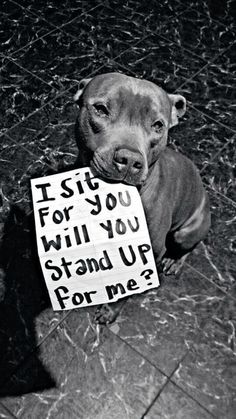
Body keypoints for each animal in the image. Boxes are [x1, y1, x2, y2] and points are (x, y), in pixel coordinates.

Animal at [73, 72, 210, 324]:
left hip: (186, 232)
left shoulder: (148, 255)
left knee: (188, 246)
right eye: (101, 109)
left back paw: (175, 261)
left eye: (158, 125)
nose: (129, 159)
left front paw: (110, 311)